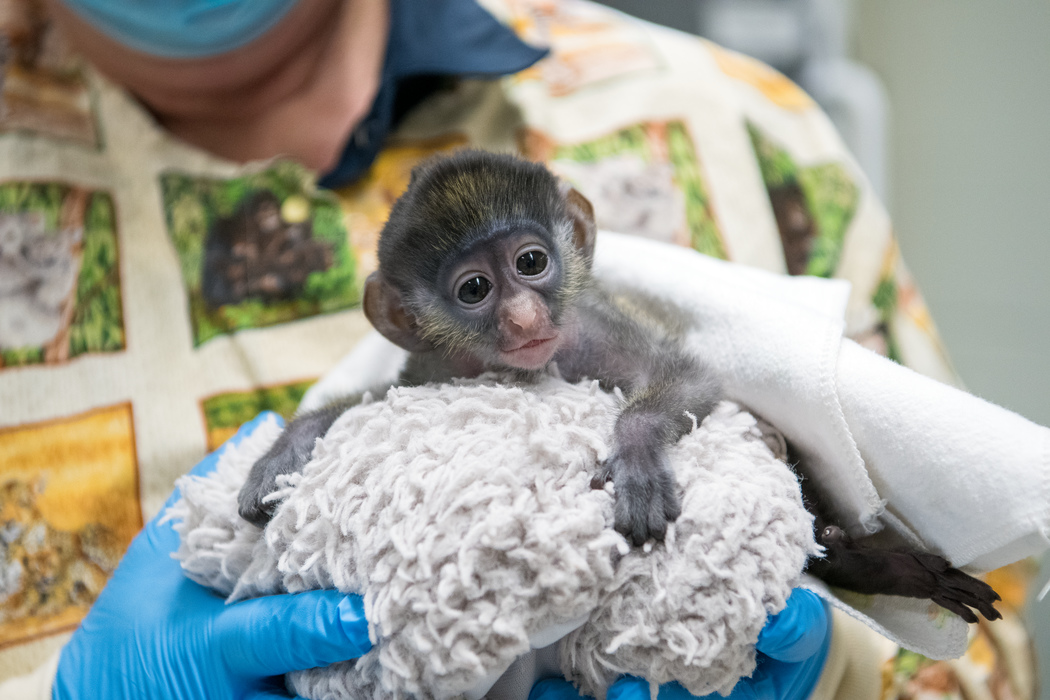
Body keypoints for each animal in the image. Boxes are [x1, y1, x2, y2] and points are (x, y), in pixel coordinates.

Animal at [240, 151, 999, 621]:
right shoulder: (429, 368)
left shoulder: (587, 329)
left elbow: (688, 377)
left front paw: (634, 456)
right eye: (475, 289)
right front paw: (285, 450)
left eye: (532, 262)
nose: (524, 317)